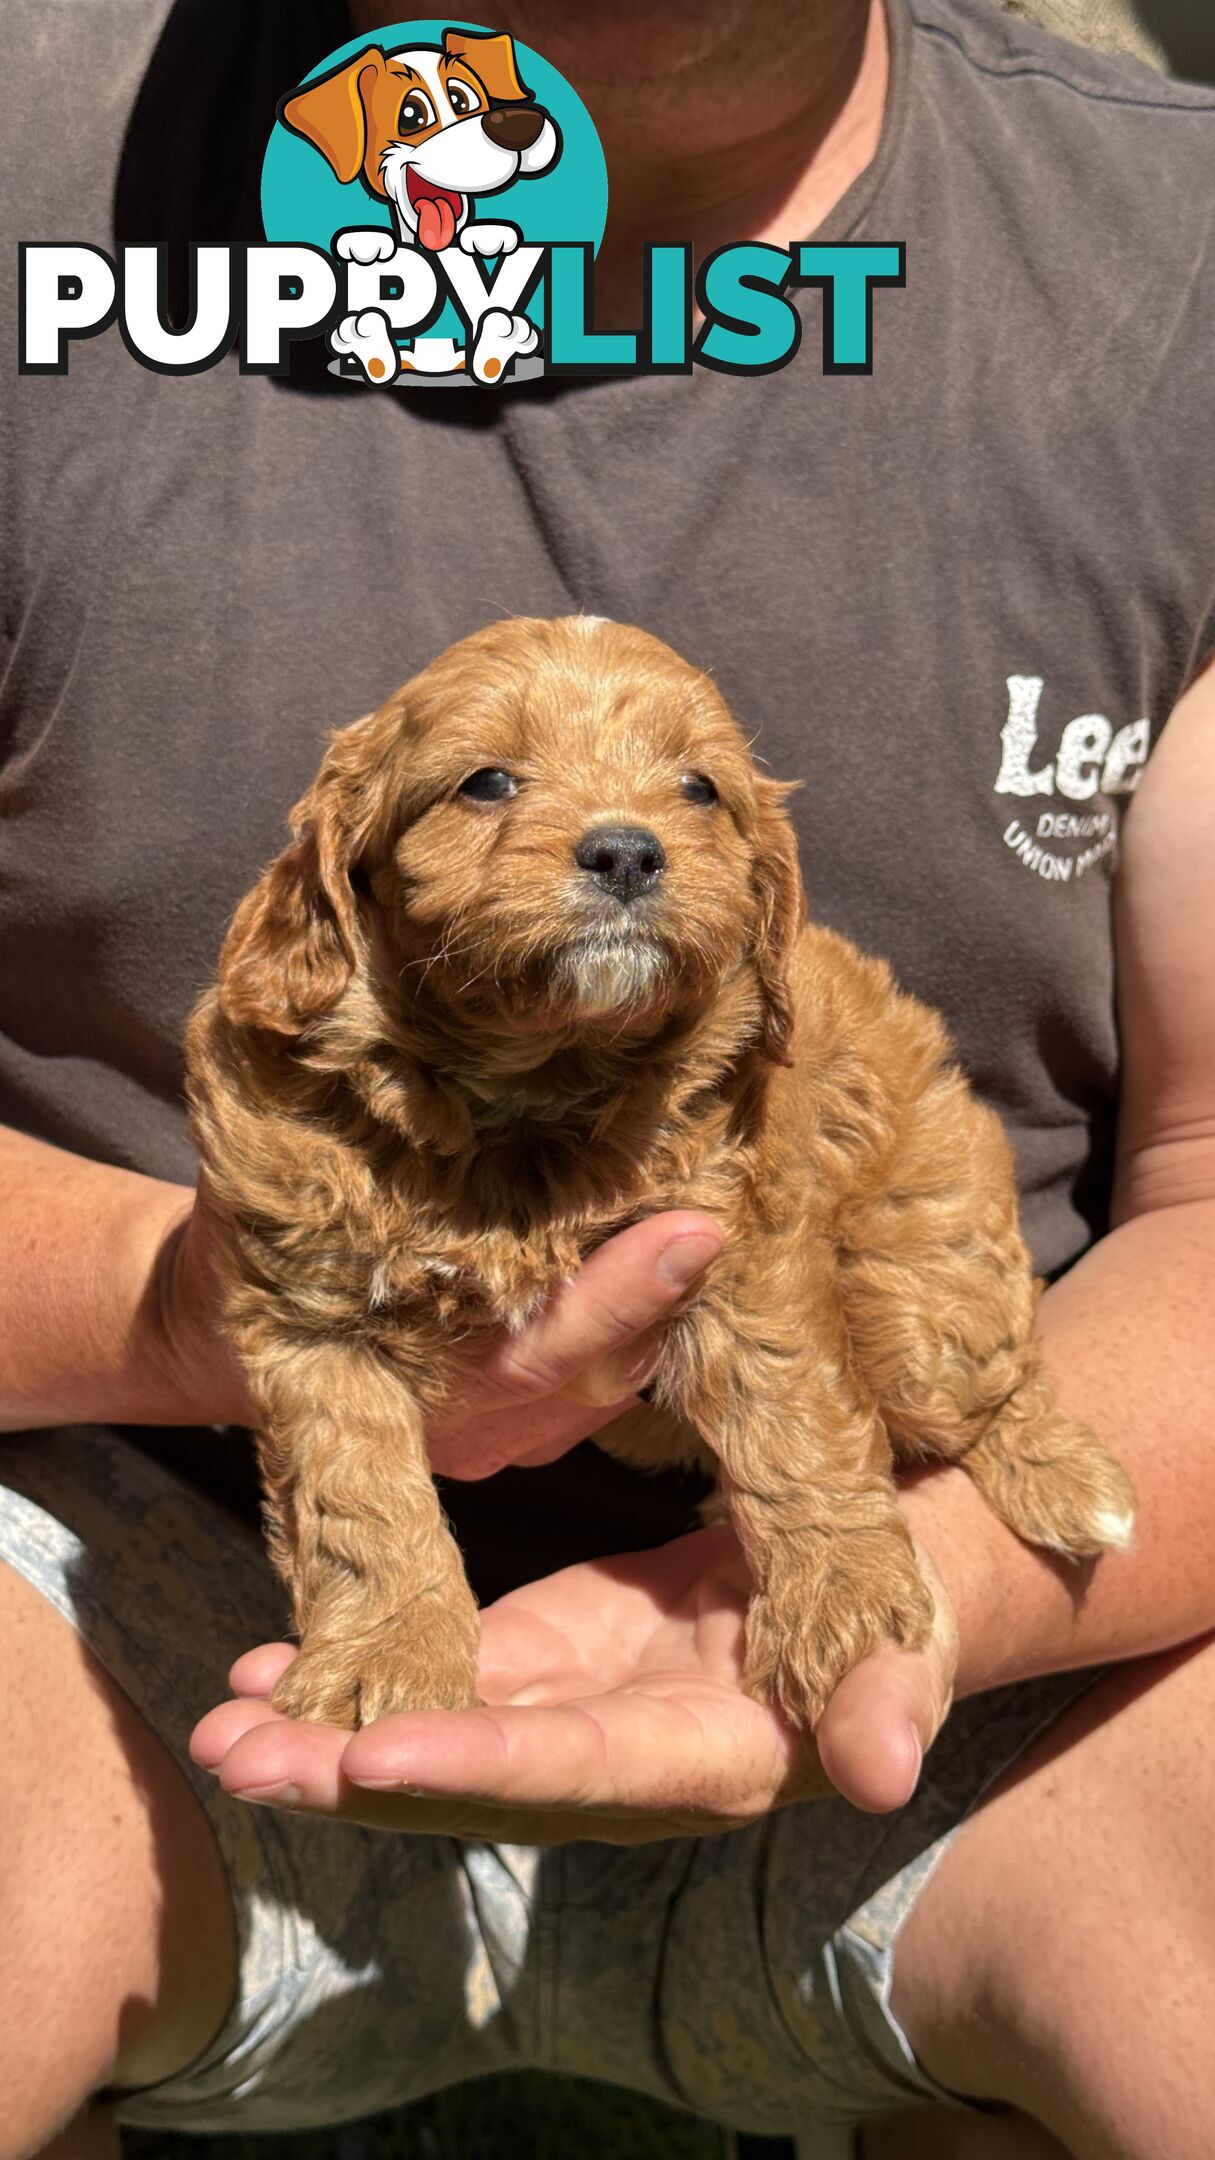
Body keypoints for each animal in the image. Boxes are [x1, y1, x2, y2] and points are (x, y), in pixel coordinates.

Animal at [184, 617, 1132, 1728]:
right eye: (486, 782)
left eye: (698, 788)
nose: (628, 850)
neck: (536, 1092)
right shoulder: (310, 1311)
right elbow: (356, 1498)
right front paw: (389, 1654)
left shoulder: (737, 1245)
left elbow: (791, 1416)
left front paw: (843, 1603)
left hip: (922, 1293)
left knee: (984, 1376)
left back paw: (1073, 1483)